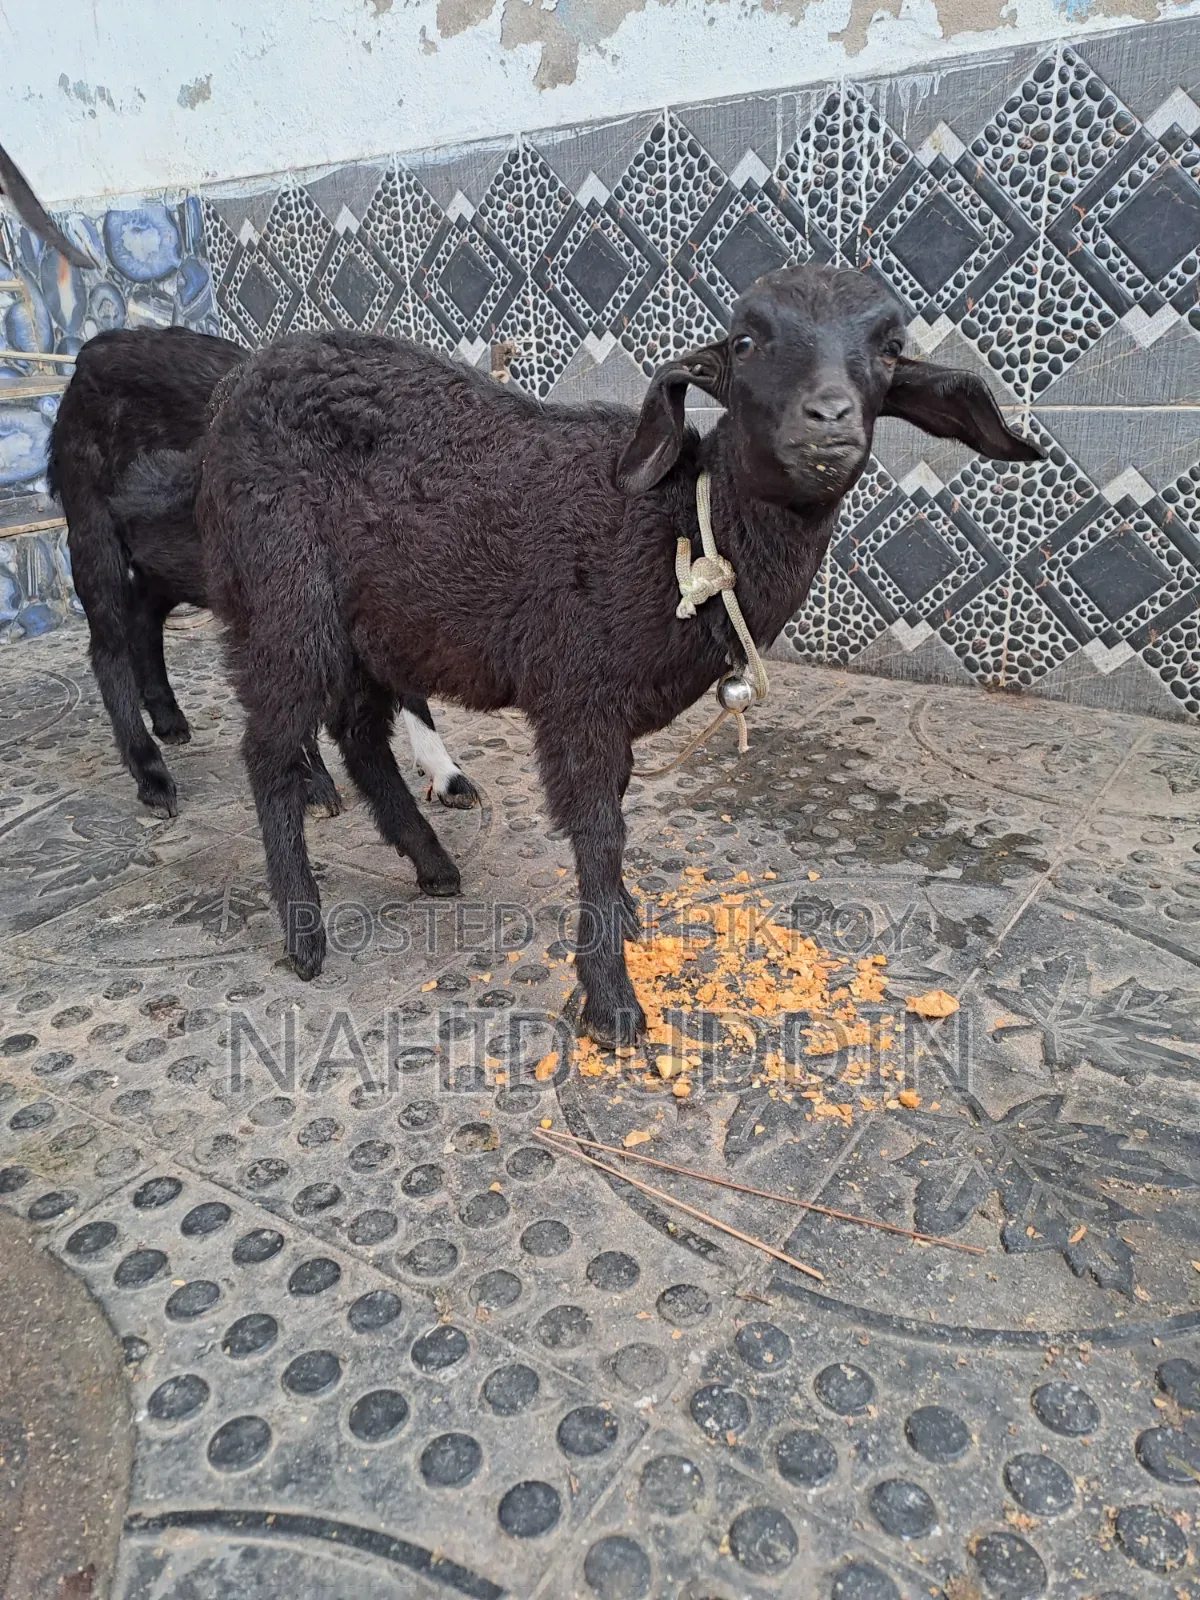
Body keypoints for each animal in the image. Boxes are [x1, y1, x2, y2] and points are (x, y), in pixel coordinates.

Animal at [48, 326, 479, 818]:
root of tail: (94, 349)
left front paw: (445, 772)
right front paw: (313, 782)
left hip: (178, 555)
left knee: (145, 611)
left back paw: (167, 715)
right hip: (93, 529)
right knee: (108, 646)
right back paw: (150, 772)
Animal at [185, 265, 1039, 1046]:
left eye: (890, 349)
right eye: (745, 341)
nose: (826, 421)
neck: (682, 525)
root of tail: (234, 385)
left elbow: (615, 810)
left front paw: (624, 918)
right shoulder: (577, 690)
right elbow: (599, 829)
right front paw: (613, 1002)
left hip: (376, 622)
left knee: (359, 732)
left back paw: (432, 865)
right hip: (283, 595)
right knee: (270, 749)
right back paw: (303, 932)